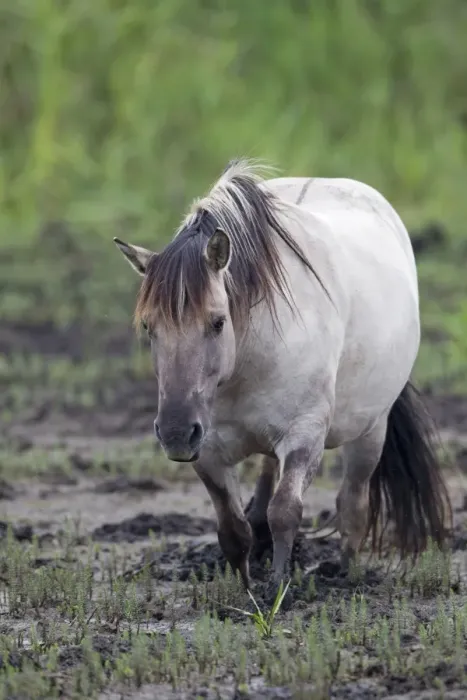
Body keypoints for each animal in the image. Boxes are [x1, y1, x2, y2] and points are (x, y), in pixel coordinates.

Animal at [114, 159, 452, 604]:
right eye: (149, 328)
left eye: (217, 322)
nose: (174, 434)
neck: (246, 361)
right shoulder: (208, 452)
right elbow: (233, 528)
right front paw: (245, 586)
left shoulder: (304, 436)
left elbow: (285, 512)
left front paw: (277, 588)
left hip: (370, 431)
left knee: (353, 505)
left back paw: (346, 575)